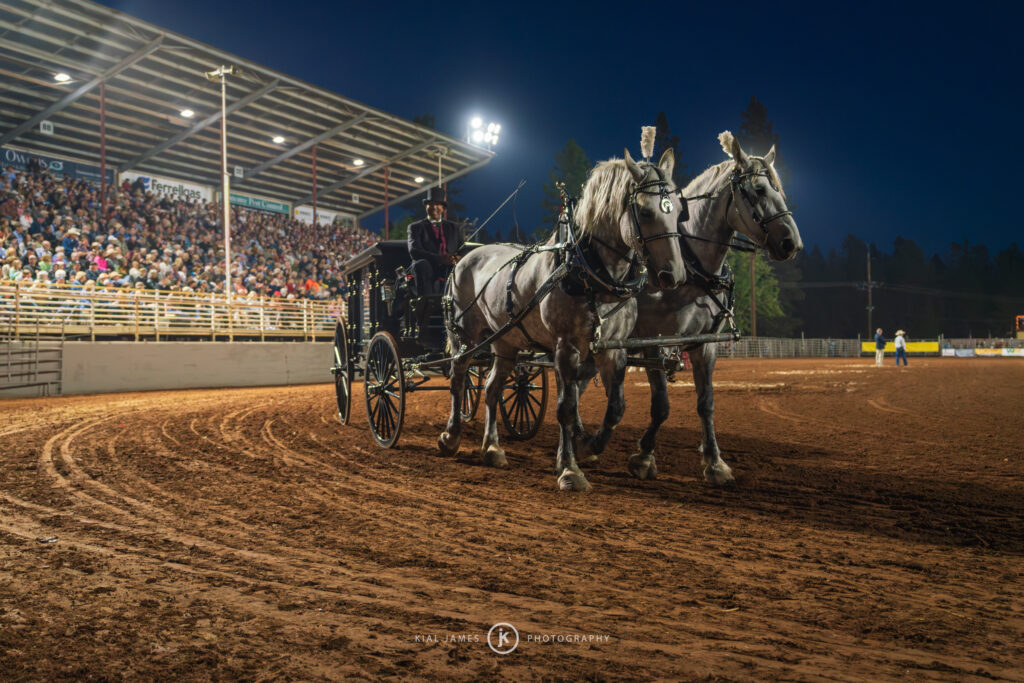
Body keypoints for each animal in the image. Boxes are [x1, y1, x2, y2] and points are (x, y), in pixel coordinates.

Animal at [440, 149, 688, 491]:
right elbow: (567, 408)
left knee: (491, 389)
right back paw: (451, 436)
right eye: (645, 212)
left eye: (679, 211)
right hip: (464, 335)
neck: (589, 273)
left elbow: (616, 408)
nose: (674, 276)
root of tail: (464, 257)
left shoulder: (611, 349)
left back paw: (492, 448)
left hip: (505, 341)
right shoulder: (566, 348)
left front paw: (587, 446)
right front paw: (570, 469)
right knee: (458, 378)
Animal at [581, 132, 802, 485]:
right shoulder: (653, 342)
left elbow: (706, 403)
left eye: (778, 188)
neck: (691, 265)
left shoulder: (703, 344)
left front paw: (714, 462)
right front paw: (644, 456)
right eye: (758, 190)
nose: (791, 243)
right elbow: (661, 406)